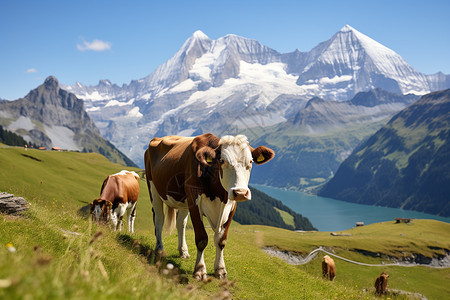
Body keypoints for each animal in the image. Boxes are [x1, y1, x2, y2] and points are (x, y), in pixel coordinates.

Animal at [144, 133, 274, 278]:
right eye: (222, 161)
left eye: (250, 162)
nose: (240, 192)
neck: (219, 196)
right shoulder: (194, 201)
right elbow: (202, 239)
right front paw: (200, 270)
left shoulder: (232, 206)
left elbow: (221, 240)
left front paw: (220, 269)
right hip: (153, 188)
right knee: (159, 219)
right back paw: (159, 249)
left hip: (183, 201)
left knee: (180, 223)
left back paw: (183, 251)